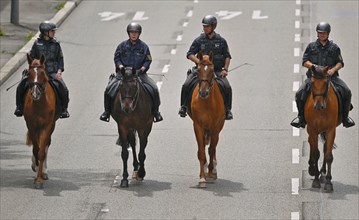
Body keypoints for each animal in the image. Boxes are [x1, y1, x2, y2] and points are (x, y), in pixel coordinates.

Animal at [23, 53, 59, 189]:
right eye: (29, 73)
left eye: (42, 73)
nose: (35, 93)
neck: (39, 104)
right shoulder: (31, 126)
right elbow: (36, 149)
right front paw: (36, 172)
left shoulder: (47, 126)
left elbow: (42, 152)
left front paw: (39, 179)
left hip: (51, 126)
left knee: (46, 144)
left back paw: (44, 172)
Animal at [187, 51, 226, 187]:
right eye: (198, 69)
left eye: (212, 70)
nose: (203, 92)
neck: (207, 102)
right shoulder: (198, 126)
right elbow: (201, 151)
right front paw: (202, 177)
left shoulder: (215, 127)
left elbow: (211, 149)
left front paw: (210, 173)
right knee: (204, 145)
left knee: (213, 147)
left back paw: (213, 169)